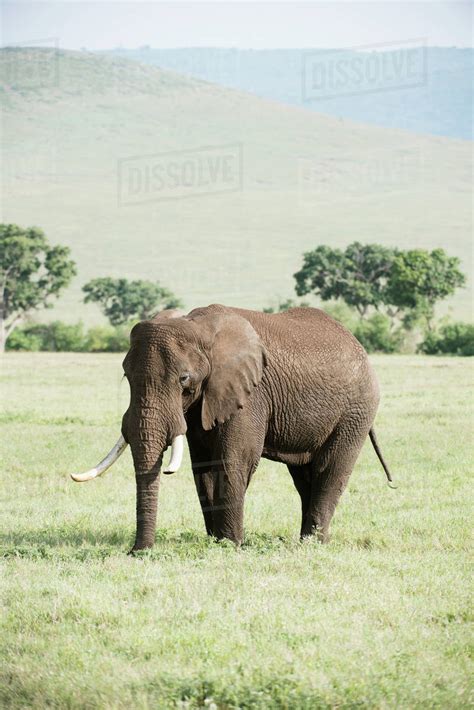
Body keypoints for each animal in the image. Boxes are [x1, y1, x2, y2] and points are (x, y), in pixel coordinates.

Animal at [70, 304, 390, 552]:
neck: (197, 326)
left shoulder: (249, 393)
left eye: (184, 379)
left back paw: (312, 544)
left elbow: (234, 459)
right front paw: (216, 542)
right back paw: (305, 541)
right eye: (126, 375)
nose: (137, 552)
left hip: (357, 410)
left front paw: (231, 545)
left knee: (329, 470)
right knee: (304, 476)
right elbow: (203, 467)